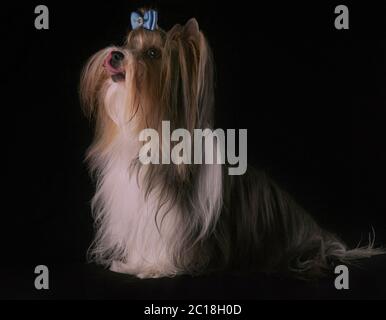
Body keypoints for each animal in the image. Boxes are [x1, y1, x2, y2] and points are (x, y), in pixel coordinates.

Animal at [80, 6, 382, 278]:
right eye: (126, 44)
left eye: (153, 53)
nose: (115, 54)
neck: (144, 130)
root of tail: (316, 233)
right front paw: (132, 264)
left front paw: (154, 267)